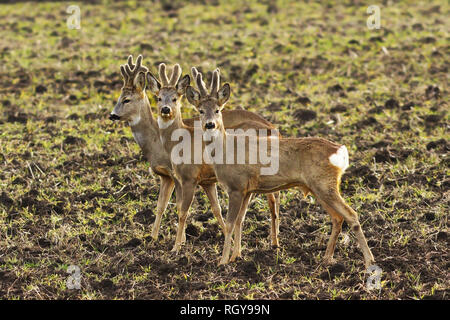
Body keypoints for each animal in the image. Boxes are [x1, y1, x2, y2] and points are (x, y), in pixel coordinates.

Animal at [109, 55, 280, 250]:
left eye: (126, 99)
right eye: (158, 98)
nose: (112, 115)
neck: (155, 143)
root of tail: (272, 127)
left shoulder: (178, 176)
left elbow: (179, 207)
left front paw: (179, 241)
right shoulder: (174, 176)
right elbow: (163, 206)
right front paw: (152, 238)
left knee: (272, 199)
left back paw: (274, 241)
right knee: (274, 198)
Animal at [185, 68, 374, 268]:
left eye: (218, 110)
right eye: (200, 110)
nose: (210, 124)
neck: (226, 150)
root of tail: (340, 151)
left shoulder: (236, 187)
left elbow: (230, 224)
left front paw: (223, 261)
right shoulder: (247, 189)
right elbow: (240, 221)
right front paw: (236, 256)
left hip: (324, 184)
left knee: (352, 215)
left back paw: (369, 261)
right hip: (318, 187)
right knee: (338, 218)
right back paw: (326, 258)